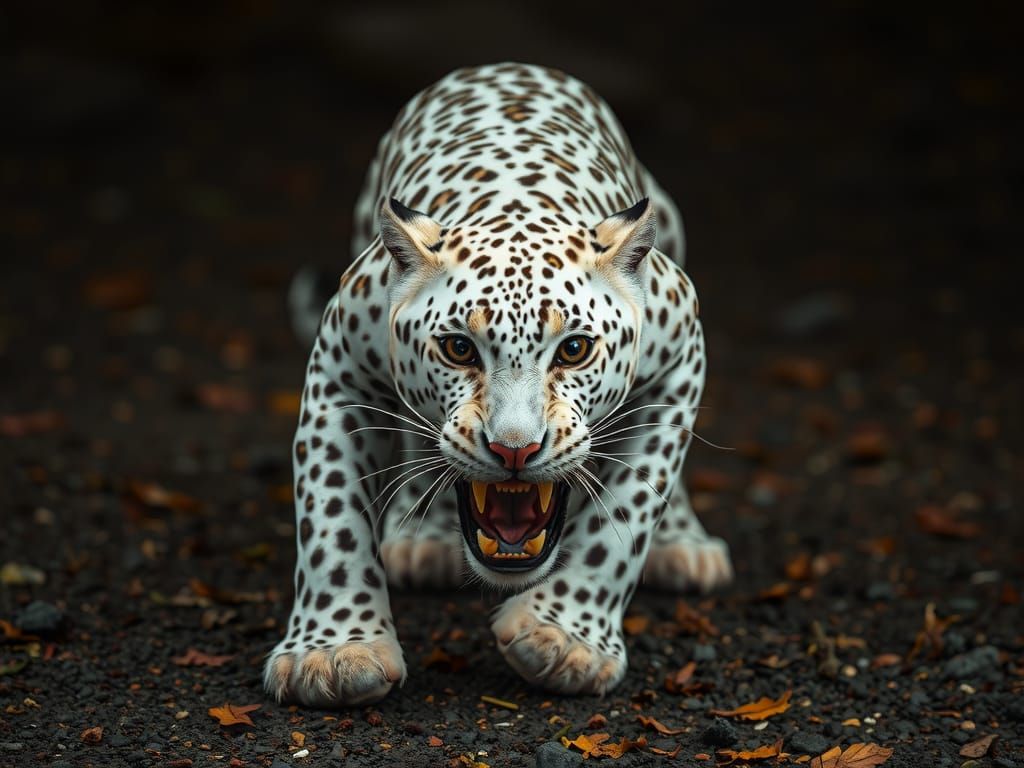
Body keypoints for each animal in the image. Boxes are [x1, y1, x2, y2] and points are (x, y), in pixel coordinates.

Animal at [265, 62, 733, 707]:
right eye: (459, 348)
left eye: (574, 349)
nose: (515, 450)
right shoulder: (340, 372)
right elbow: (330, 519)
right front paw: (336, 652)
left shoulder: (683, 346)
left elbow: (629, 512)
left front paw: (562, 638)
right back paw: (421, 533)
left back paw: (684, 547)